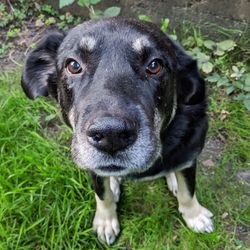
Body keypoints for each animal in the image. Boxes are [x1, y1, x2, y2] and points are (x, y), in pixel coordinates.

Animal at [21, 17, 213, 244]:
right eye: (73, 65)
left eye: (155, 65)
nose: (111, 136)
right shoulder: (92, 167)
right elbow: (102, 194)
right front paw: (106, 221)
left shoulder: (189, 155)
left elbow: (188, 190)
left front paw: (195, 215)